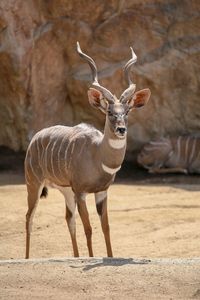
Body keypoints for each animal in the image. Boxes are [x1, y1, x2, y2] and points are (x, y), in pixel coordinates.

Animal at [24, 41, 150, 258]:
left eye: (127, 111)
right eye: (109, 112)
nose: (121, 129)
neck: (97, 155)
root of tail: (35, 139)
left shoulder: (101, 192)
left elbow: (106, 227)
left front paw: (109, 257)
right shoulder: (81, 192)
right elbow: (89, 228)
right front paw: (91, 258)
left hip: (65, 190)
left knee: (68, 218)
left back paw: (75, 255)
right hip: (34, 184)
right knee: (29, 217)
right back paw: (26, 258)